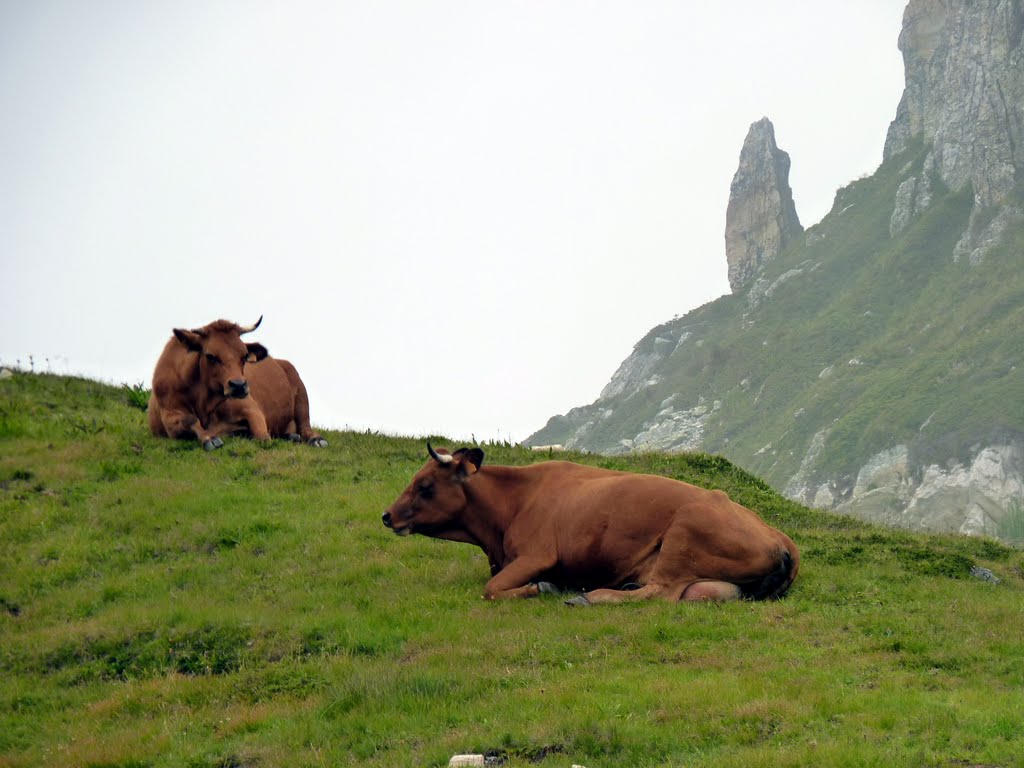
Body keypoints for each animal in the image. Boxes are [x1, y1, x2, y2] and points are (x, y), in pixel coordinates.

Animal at [146, 317, 323, 450]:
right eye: (210, 356)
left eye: (244, 355)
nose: (238, 385)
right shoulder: (169, 417)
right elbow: (189, 420)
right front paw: (209, 438)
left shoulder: (252, 410)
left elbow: (263, 437)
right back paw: (291, 435)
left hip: (301, 393)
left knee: (305, 424)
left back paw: (314, 439)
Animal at [385, 444, 798, 606]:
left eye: (425, 485)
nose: (387, 515)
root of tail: (781, 536)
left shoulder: (536, 555)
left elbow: (491, 589)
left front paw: (542, 588)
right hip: (711, 583)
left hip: (683, 532)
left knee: (659, 593)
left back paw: (589, 596)